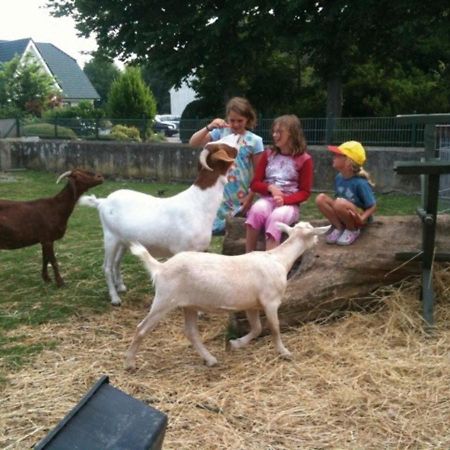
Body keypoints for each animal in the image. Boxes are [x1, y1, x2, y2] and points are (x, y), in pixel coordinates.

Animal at [125, 221, 328, 370]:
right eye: (313, 233)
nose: (318, 243)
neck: (279, 259)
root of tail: (160, 268)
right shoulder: (270, 302)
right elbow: (274, 328)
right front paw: (284, 352)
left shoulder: (252, 304)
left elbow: (257, 329)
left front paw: (236, 343)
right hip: (164, 299)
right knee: (141, 328)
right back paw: (129, 363)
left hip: (188, 304)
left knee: (191, 333)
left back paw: (210, 359)